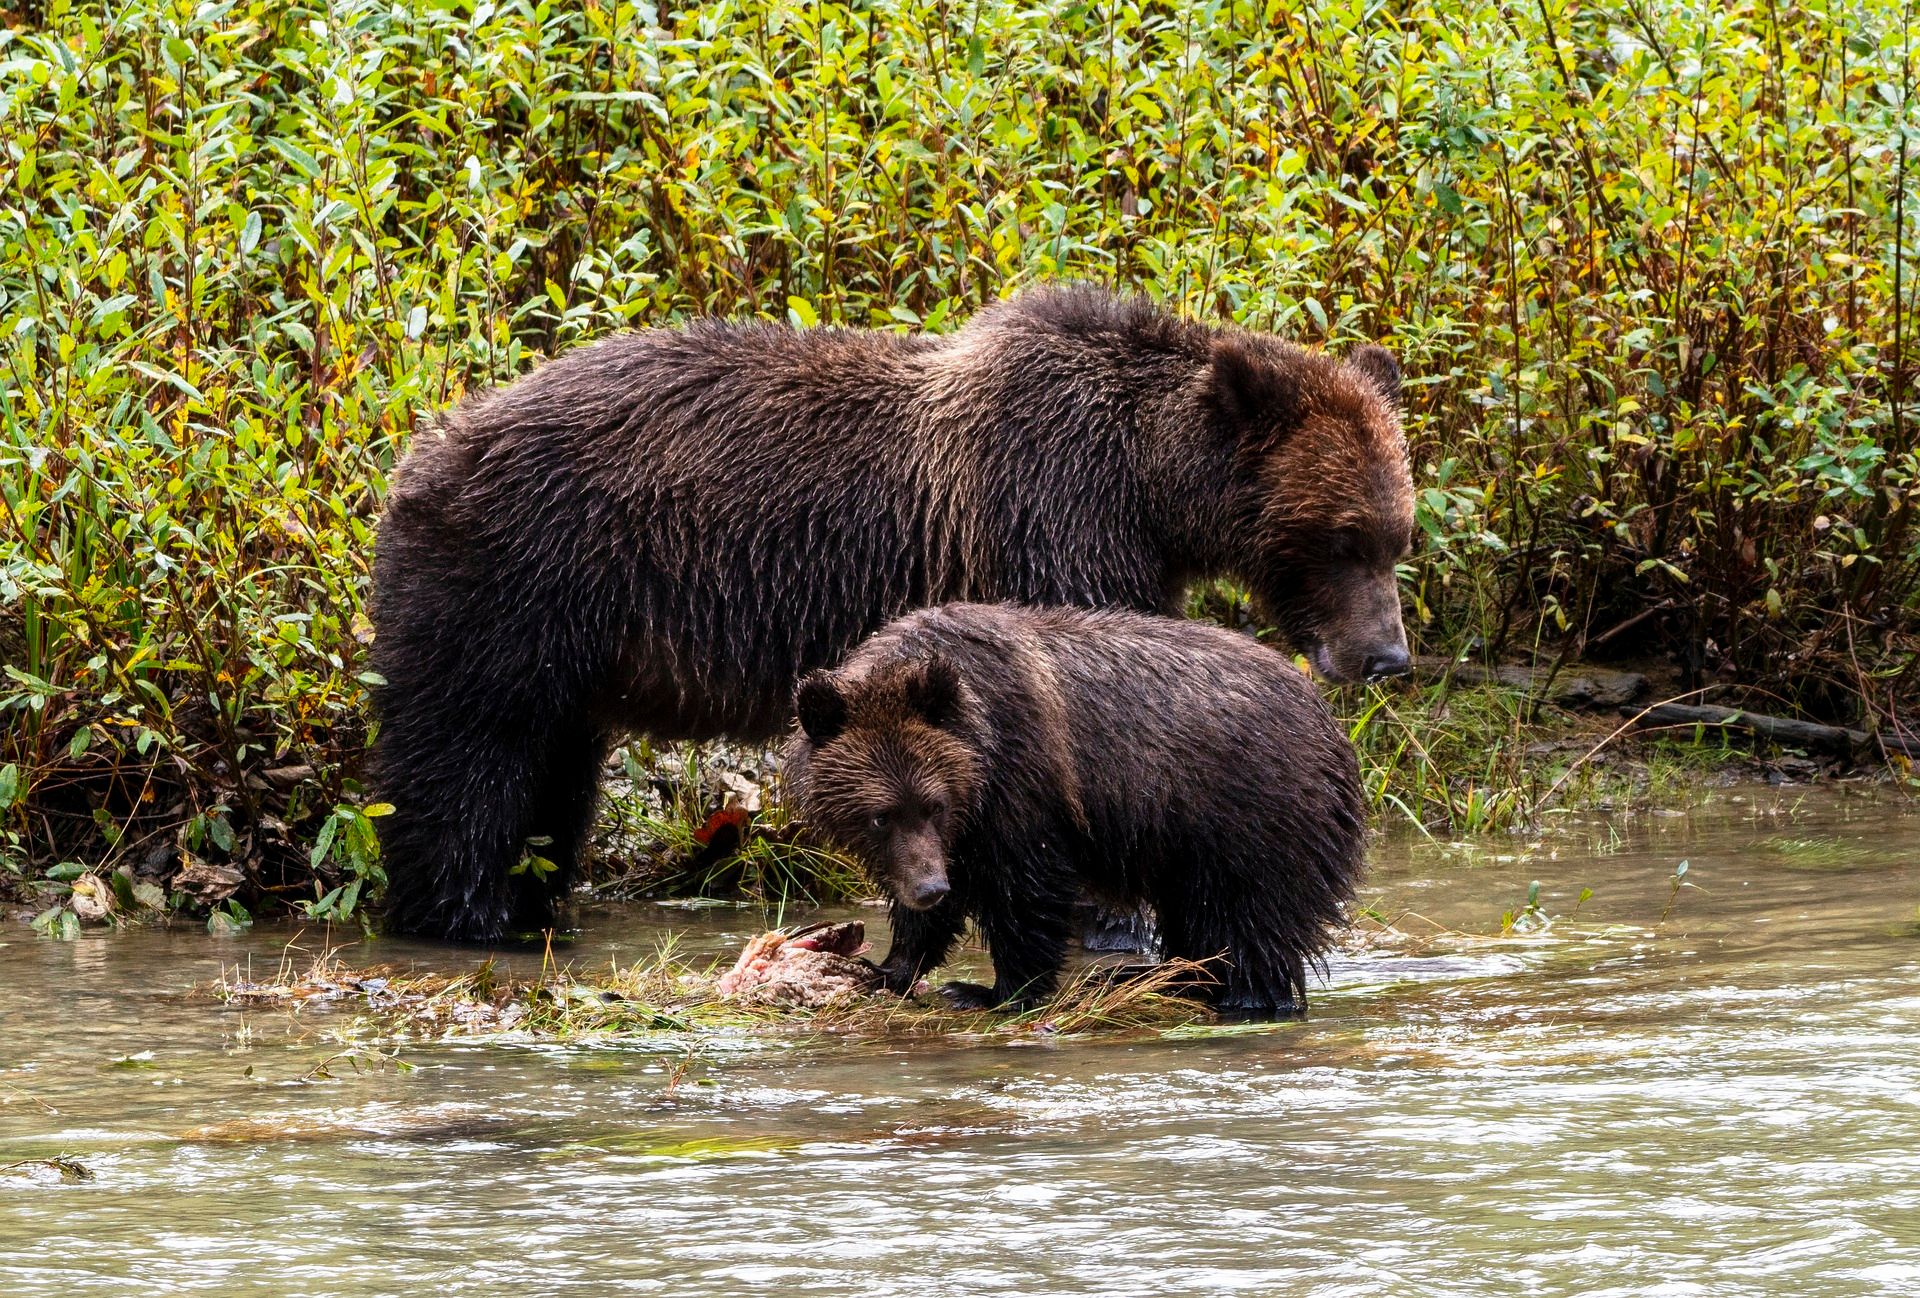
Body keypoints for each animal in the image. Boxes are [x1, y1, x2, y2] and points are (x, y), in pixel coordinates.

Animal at [370, 286, 1413, 944]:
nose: (1387, 656)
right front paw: (1117, 920)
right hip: (512, 581)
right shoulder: (1049, 524)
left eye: (1399, 534)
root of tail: (424, 446)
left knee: (552, 776)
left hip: (570, 645)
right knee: (465, 759)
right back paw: (464, 919)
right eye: (1343, 537)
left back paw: (532, 907)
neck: (1148, 488)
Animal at [779, 599, 1367, 1013]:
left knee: (1251, 922)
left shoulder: (1023, 783)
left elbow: (1026, 891)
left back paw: (1242, 998)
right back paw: (1170, 979)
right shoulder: (956, 832)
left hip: (1250, 814)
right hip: (1191, 845)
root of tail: (1331, 724)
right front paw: (889, 967)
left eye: (935, 805)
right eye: (880, 815)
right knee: (1198, 916)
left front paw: (989, 990)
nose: (930, 889)